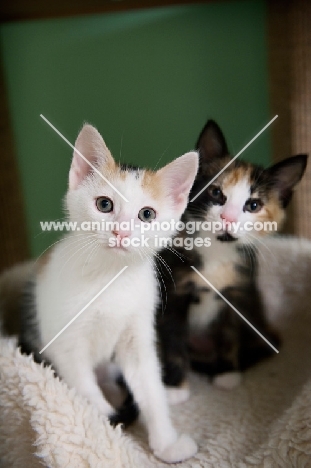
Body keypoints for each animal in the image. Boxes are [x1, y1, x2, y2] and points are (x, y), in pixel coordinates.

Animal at [17, 124, 199, 464]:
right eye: (104, 205)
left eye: (146, 214)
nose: (121, 232)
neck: (111, 278)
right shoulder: (65, 343)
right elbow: (84, 387)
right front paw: (104, 425)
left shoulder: (138, 333)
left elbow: (148, 385)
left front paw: (166, 443)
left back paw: (171, 392)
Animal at [157, 118, 308, 392]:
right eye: (216, 193)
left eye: (253, 205)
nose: (228, 218)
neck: (216, 249)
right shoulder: (173, 292)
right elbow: (172, 339)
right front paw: (175, 387)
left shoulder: (238, 291)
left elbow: (229, 334)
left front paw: (227, 373)